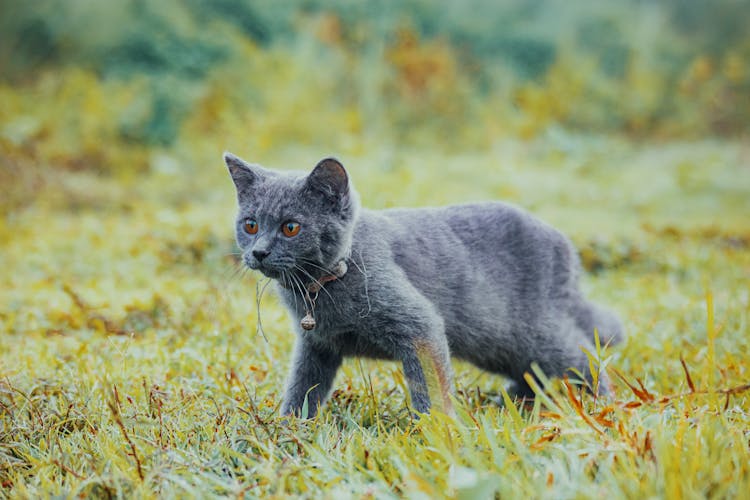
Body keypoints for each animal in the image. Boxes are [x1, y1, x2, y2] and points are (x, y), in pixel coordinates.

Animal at [226, 153, 624, 418]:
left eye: (291, 227)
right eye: (250, 224)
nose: (259, 252)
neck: (316, 291)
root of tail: (565, 246)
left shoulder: (420, 326)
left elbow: (429, 383)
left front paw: (436, 429)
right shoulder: (317, 344)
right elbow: (303, 386)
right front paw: (288, 429)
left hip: (526, 332)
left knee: (581, 352)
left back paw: (602, 405)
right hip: (496, 344)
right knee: (533, 369)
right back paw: (516, 399)